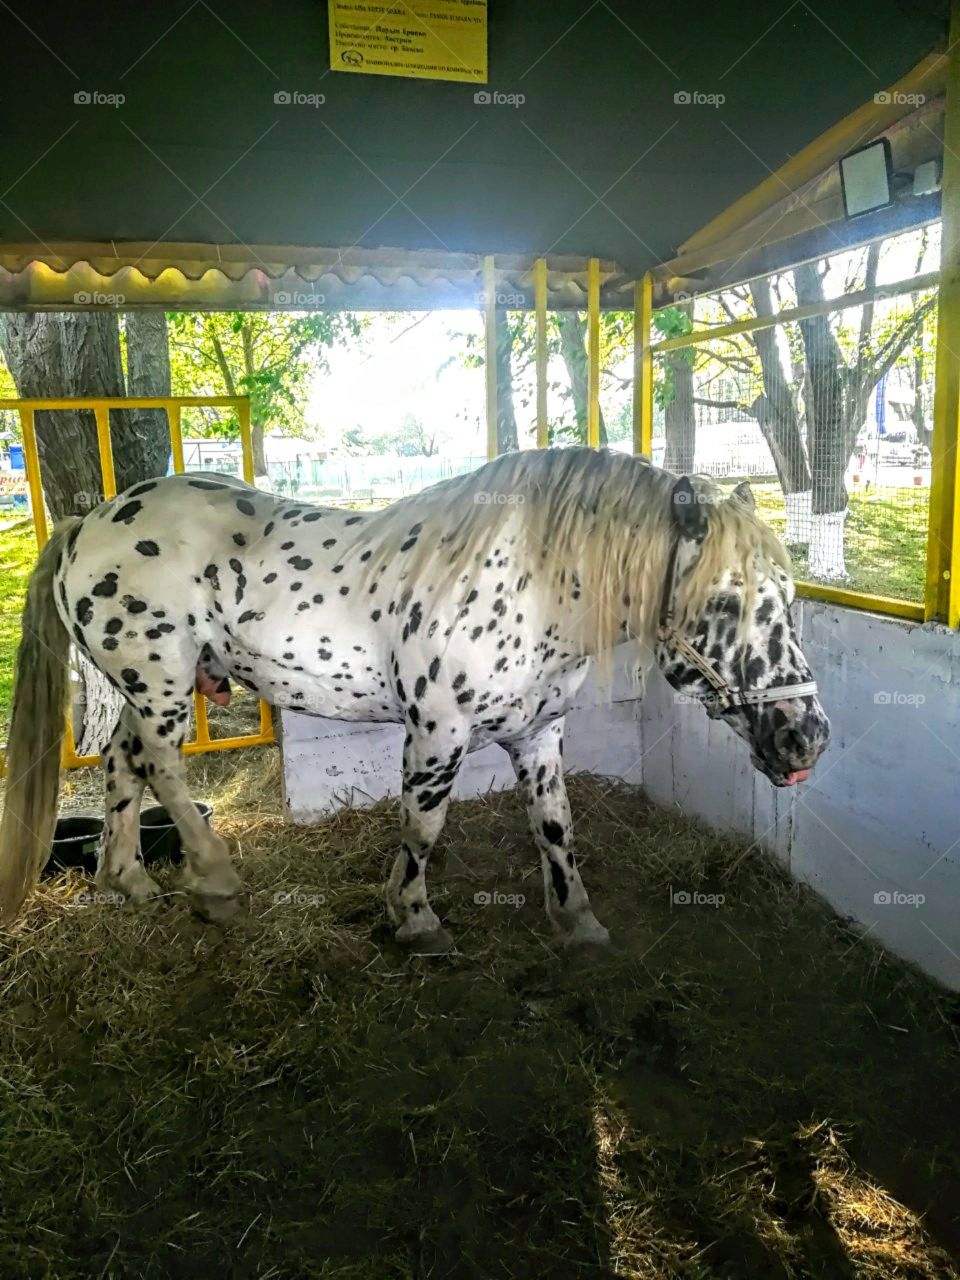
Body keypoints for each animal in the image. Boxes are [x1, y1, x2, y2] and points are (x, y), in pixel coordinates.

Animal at [0, 447, 830, 945]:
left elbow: (555, 827)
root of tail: (88, 522)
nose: (808, 737)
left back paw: (129, 880)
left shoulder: (539, 734)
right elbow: (423, 826)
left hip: (145, 691)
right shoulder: (437, 732)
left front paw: (577, 921)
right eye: (725, 602)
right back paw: (216, 881)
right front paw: (415, 915)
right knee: (164, 767)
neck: (534, 583)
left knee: (124, 763)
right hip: (163, 683)